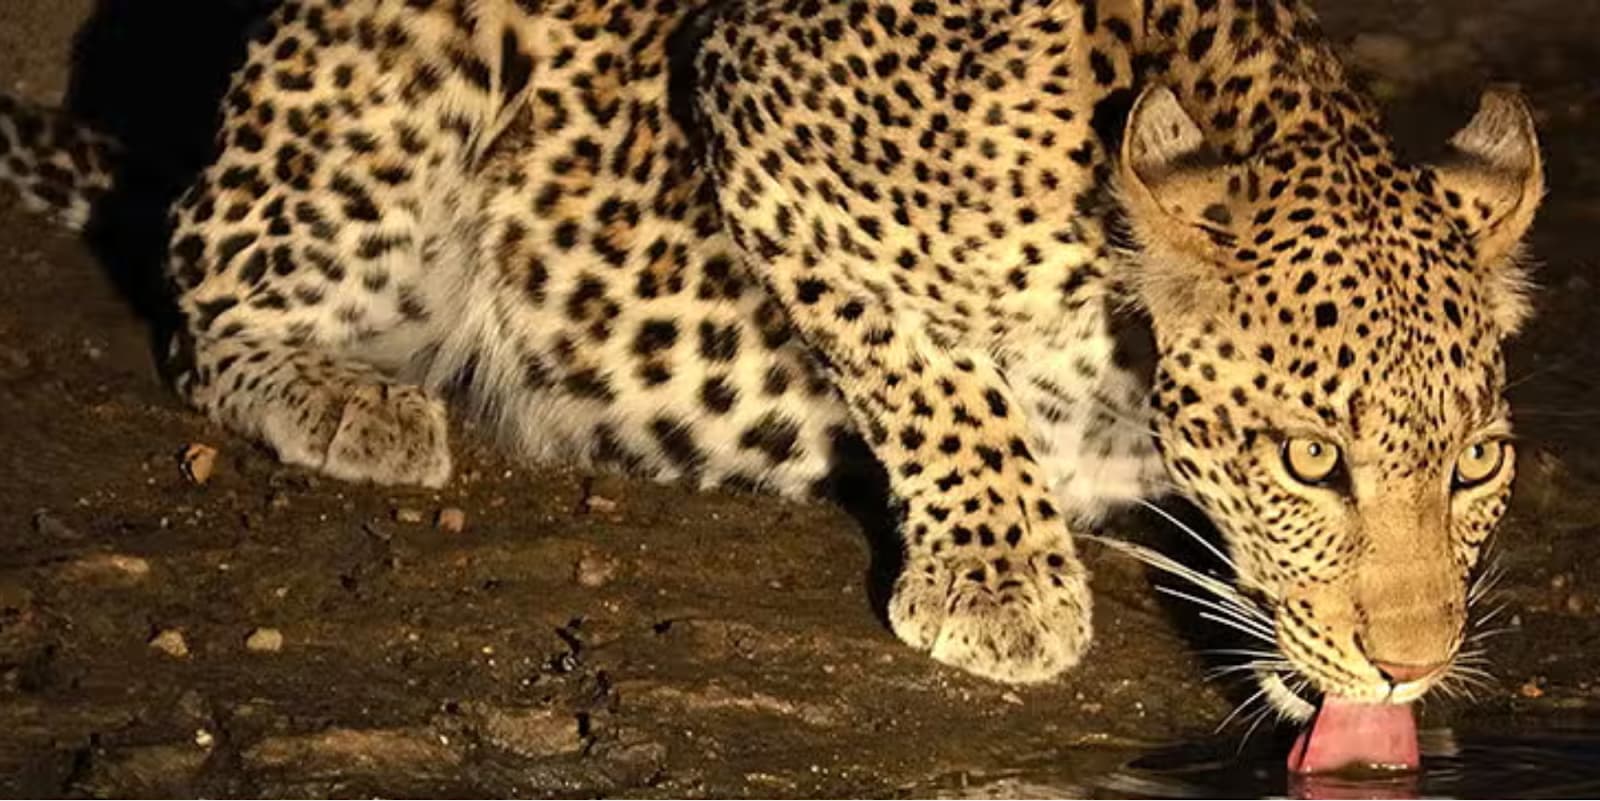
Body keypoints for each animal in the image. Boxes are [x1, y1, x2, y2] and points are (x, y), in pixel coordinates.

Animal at [0, 0, 1542, 725]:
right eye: (1309, 459)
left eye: (1476, 463)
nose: (1412, 669)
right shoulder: (763, 115)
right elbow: (930, 376)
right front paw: (1000, 583)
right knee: (203, 305)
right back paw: (347, 403)